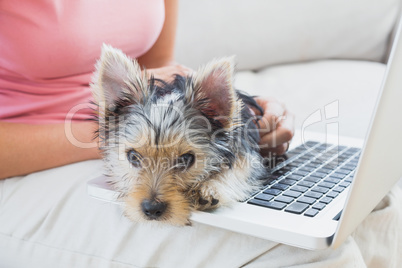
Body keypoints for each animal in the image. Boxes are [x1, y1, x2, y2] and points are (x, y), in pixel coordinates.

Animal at [91, 45, 266, 225]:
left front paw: (210, 188)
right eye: (133, 157)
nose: (152, 209)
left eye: (186, 159)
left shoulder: (246, 150)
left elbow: (241, 166)